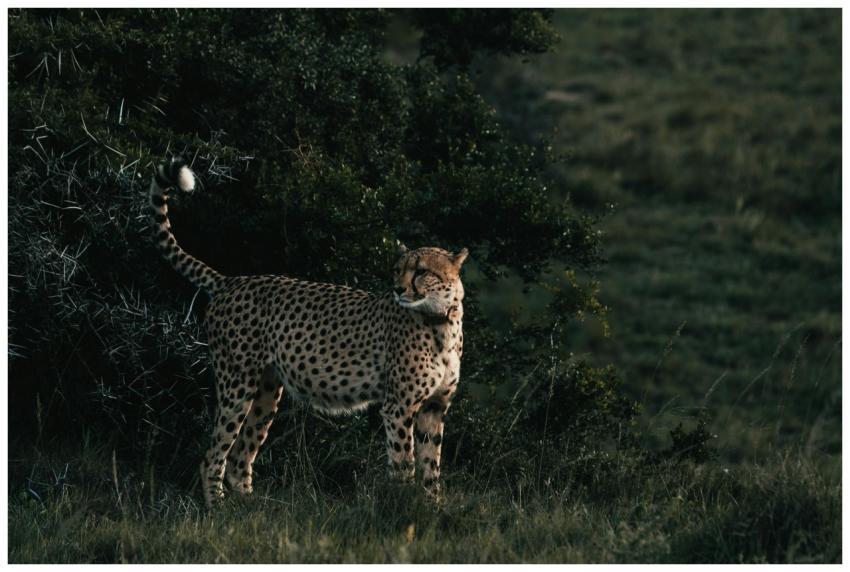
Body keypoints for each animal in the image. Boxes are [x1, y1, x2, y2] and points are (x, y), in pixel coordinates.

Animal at [149, 158, 468, 507]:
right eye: (398, 271)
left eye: (421, 271)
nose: (398, 289)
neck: (441, 320)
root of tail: (231, 281)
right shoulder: (398, 405)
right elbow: (404, 463)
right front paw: (401, 503)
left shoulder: (434, 407)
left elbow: (431, 465)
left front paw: (432, 506)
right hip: (237, 383)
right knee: (213, 454)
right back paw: (217, 507)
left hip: (266, 392)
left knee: (240, 456)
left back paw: (250, 507)